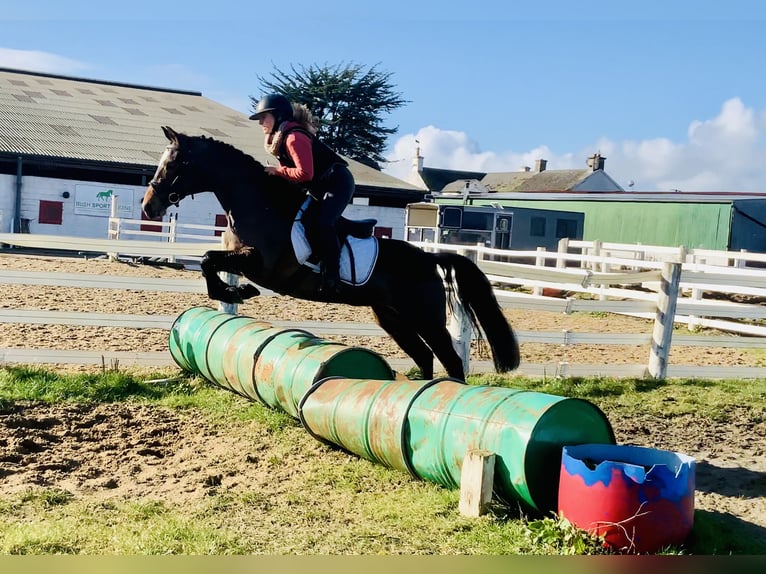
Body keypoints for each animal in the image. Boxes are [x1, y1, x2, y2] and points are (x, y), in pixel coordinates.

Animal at [140, 125, 520, 382]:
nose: (149, 207)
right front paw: (236, 292)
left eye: (174, 164)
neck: (258, 204)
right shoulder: (242, 258)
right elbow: (209, 262)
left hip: (424, 317)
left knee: (449, 360)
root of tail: (429, 258)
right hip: (392, 317)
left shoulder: (261, 264)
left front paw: (237, 292)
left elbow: (208, 260)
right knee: (424, 357)